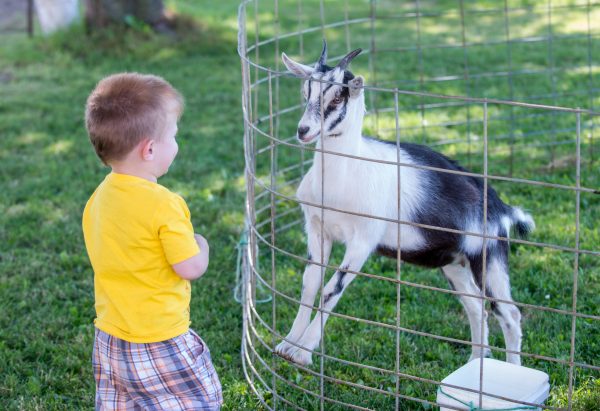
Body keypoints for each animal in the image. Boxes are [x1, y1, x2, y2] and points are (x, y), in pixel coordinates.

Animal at [276, 41, 536, 368]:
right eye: (305, 91)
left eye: (337, 96)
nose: (303, 130)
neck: (346, 175)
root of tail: (501, 207)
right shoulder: (317, 229)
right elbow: (309, 283)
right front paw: (287, 344)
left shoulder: (364, 239)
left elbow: (331, 289)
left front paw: (303, 352)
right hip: (454, 263)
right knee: (476, 306)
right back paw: (476, 364)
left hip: (489, 259)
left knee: (509, 313)